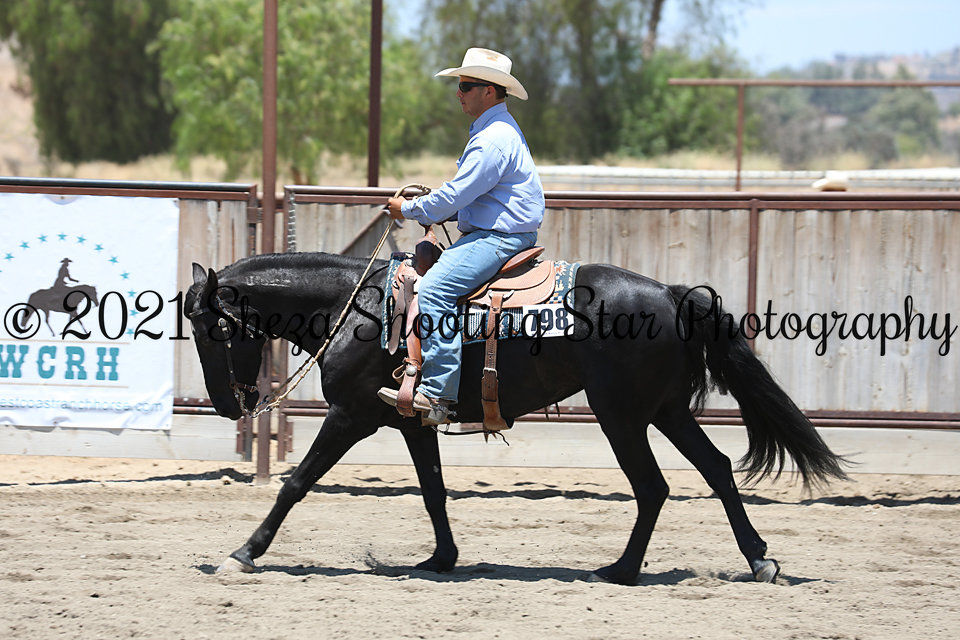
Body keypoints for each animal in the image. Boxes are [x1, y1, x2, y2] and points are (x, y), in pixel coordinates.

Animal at [185, 252, 848, 585]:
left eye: (214, 327)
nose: (226, 403)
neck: (357, 309)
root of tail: (670, 294)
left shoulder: (351, 415)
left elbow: (297, 483)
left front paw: (244, 552)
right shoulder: (409, 421)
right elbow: (433, 491)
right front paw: (442, 559)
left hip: (622, 416)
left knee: (653, 487)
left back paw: (622, 571)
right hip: (663, 410)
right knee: (715, 469)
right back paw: (758, 559)